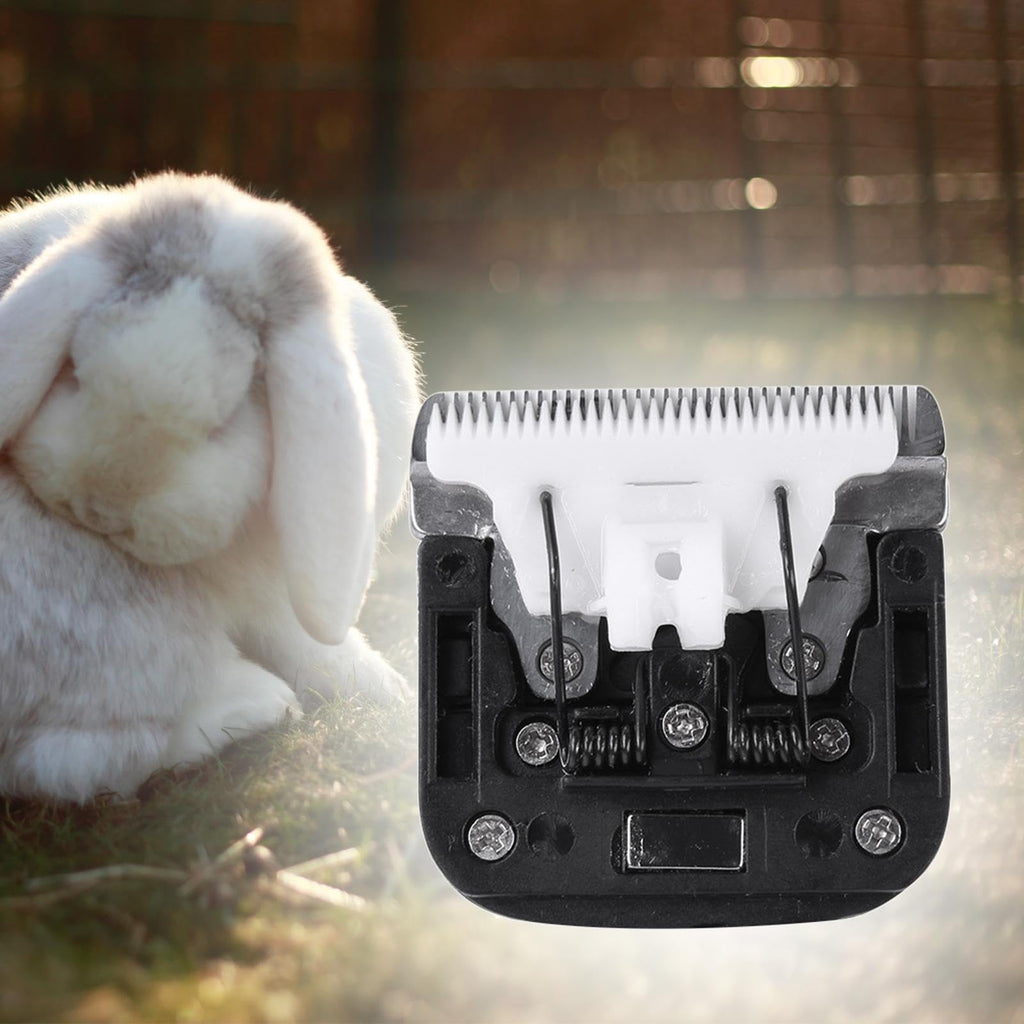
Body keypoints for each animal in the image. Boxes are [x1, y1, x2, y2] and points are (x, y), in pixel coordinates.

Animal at [0, 172, 421, 801]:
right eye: (72, 369)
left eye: (223, 422)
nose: (97, 510)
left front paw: (384, 691)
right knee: (76, 756)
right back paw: (255, 708)